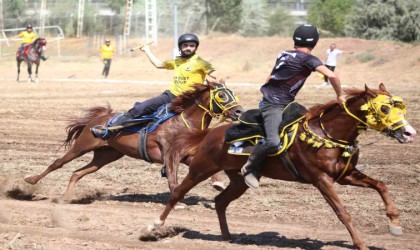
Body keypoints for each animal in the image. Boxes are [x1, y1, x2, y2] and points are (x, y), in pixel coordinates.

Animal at [23, 81, 243, 200]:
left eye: (232, 93)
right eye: (222, 95)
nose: (239, 111)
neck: (183, 122)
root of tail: (99, 119)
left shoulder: (185, 156)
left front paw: (218, 183)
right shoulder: (169, 156)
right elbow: (172, 179)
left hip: (106, 155)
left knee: (77, 173)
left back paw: (66, 197)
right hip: (82, 146)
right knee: (57, 163)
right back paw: (30, 181)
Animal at [149, 84, 416, 250]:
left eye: (399, 107)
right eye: (384, 108)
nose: (409, 132)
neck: (327, 133)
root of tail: (210, 133)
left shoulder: (346, 175)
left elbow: (381, 185)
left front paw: (395, 224)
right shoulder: (321, 180)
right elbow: (343, 212)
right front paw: (360, 243)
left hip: (238, 180)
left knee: (220, 201)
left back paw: (227, 236)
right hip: (201, 169)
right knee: (177, 193)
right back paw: (154, 226)